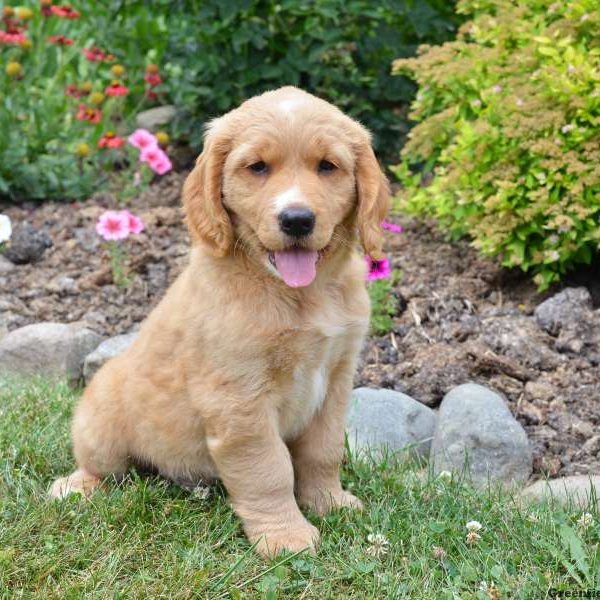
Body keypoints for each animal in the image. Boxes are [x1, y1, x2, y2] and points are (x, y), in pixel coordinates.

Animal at [50, 85, 390, 556]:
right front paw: (285, 537)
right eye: (258, 167)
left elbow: (322, 451)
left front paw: (329, 502)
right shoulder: (238, 398)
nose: (297, 219)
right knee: (100, 467)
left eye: (328, 166)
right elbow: (269, 469)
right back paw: (74, 487)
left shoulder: (337, 378)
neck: (300, 294)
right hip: (100, 422)